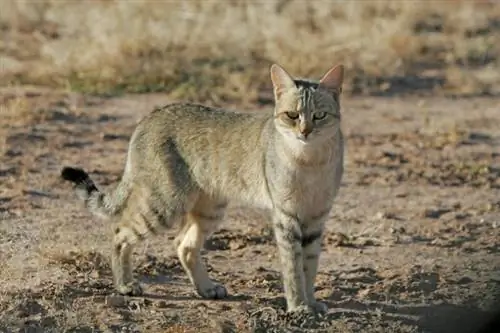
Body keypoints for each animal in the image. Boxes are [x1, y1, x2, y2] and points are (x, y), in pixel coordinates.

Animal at [60, 63, 344, 314]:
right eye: (292, 115)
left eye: (319, 115)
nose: (305, 132)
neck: (310, 160)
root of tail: (150, 116)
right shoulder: (286, 216)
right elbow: (293, 268)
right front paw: (298, 306)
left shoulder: (316, 217)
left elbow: (309, 266)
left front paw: (311, 302)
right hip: (165, 204)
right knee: (120, 232)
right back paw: (125, 285)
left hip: (209, 208)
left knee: (182, 244)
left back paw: (206, 288)